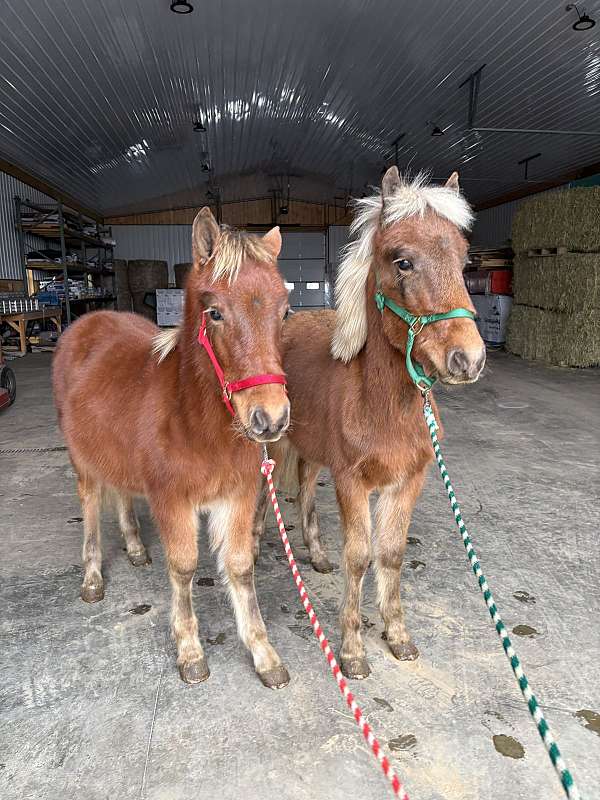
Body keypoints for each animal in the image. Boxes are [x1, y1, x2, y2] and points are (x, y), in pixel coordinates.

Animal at [53, 208, 292, 688]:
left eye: (285, 312)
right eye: (215, 313)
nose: (271, 418)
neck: (197, 424)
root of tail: (86, 323)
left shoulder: (237, 496)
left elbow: (240, 566)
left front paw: (263, 654)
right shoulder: (172, 500)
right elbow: (183, 567)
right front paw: (190, 650)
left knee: (121, 492)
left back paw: (135, 549)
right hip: (82, 461)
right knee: (91, 507)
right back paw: (92, 578)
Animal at [254, 168, 485, 680]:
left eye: (464, 262)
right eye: (403, 262)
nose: (469, 359)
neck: (382, 405)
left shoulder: (408, 481)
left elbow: (391, 554)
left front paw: (397, 635)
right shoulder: (351, 481)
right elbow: (359, 557)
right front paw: (353, 649)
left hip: (310, 449)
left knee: (303, 490)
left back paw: (317, 556)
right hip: (278, 444)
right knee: (266, 494)